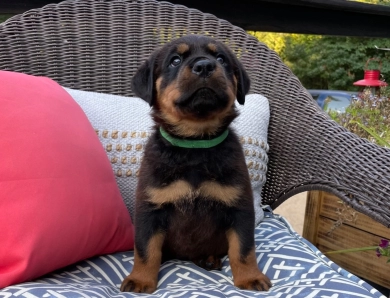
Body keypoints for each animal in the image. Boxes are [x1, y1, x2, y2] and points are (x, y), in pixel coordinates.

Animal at [121, 34, 272, 294]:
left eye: (220, 58)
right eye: (175, 60)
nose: (204, 66)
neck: (195, 145)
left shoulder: (239, 207)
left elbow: (244, 249)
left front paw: (250, 277)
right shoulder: (150, 209)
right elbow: (146, 250)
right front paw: (140, 279)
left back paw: (208, 258)